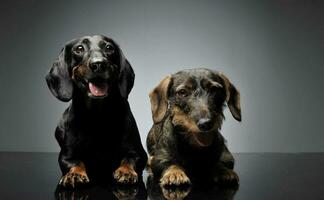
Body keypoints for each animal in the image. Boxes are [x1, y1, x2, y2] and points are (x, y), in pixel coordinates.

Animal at [45, 34, 147, 188]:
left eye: (109, 47)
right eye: (79, 48)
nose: (98, 64)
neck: (97, 116)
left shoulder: (138, 152)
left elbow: (129, 159)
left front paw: (126, 171)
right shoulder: (66, 155)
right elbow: (75, 162)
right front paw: (74, 174)